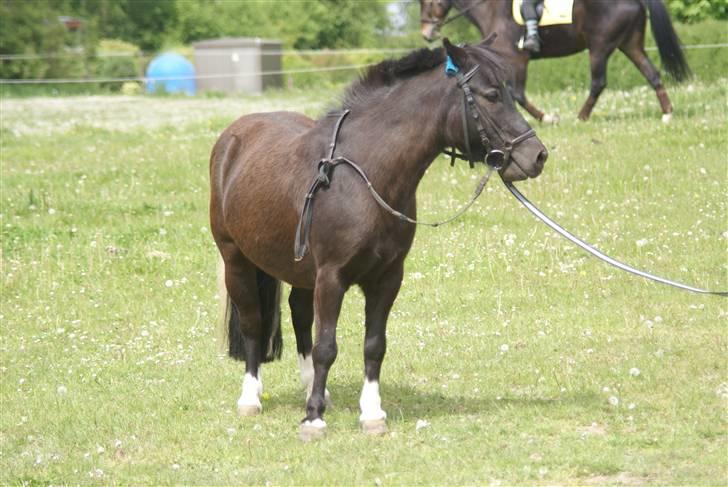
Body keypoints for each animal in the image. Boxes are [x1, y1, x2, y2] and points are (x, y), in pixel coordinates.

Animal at [210, 38, 544, 438]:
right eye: (492, 95)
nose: (536, 155)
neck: (364, 175)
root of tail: (234, 136)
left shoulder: (387, 277)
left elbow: (374, 345)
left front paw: (371, 414)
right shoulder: (332, 277)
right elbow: (326, 346)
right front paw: (313, 418)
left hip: (299, 270)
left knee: (299, 315)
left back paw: (310, 388)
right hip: (237, 260)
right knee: (253, 324)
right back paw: (251, 398)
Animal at [418, 0, 692, 122]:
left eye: (429, 2)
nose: (426, 33)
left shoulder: (517, 59)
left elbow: (517, 93)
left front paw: (546, 117)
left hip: (599, 47)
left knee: (598, 82)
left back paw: (581, 116)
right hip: (630, 45)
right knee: (652, 74)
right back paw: (667, 113)